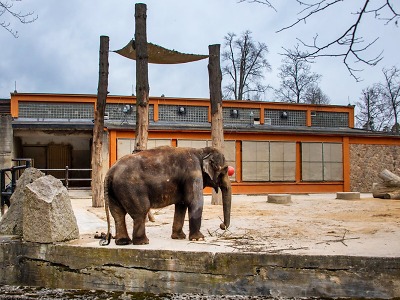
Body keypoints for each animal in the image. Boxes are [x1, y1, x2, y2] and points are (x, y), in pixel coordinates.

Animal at [100, 146, 231, 246]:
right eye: (224, 171)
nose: (221, 225)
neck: (201, 151)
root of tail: (110, 172)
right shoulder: (193, 173)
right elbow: (195, 202)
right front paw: (199, 239)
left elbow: (181, 204)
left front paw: (179, 237)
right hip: (130, 188)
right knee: (140, 212)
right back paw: (143, 242)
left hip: (113, 191)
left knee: (118, 214)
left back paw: (123, 242)